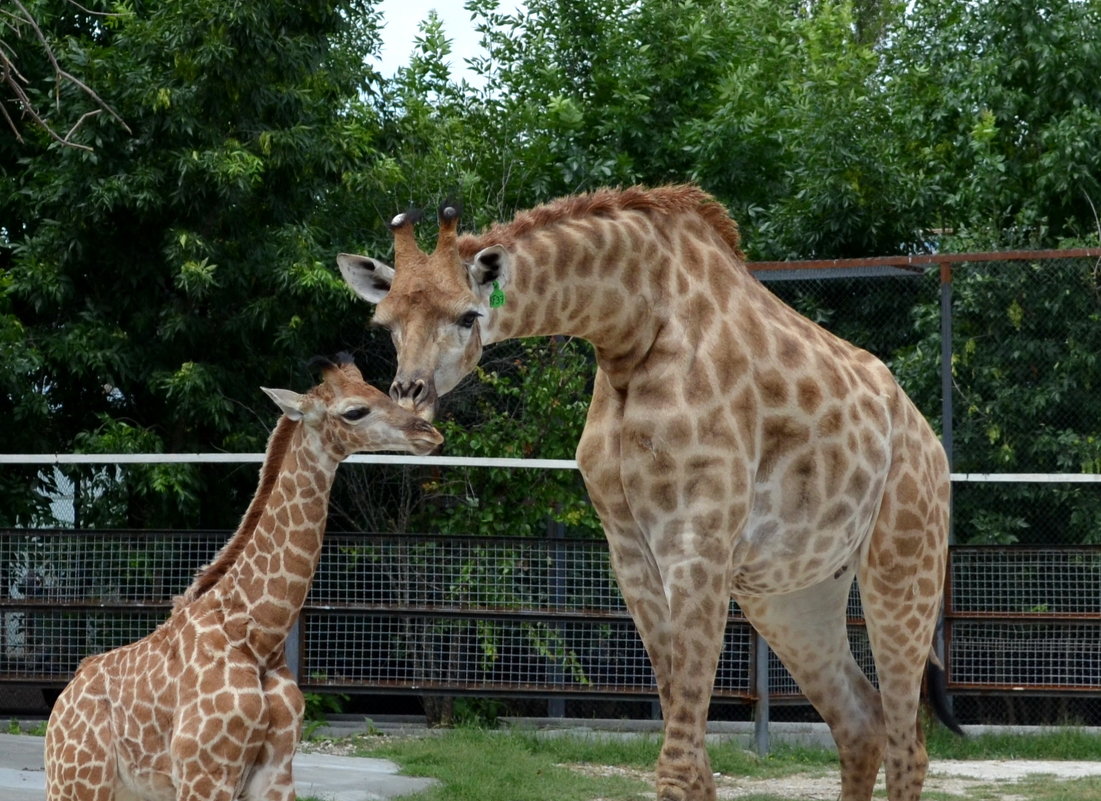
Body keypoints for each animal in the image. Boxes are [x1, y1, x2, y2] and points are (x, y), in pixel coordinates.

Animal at [46, 356, 442, 800]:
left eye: (380, 391)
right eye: (355, 411)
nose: (429, 433)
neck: (260, 634)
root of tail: (64, 697)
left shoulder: (277, 773)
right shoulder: (205, 773)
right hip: (78, 780)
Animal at [339, 185, 960, 800]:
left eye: (469, 315)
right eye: (384, 323)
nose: (410, 395)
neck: (631, 333)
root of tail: (929, 440)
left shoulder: (699, 542)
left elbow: (679, 764)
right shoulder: (631, 553)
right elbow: (695, 758)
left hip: (904, 563)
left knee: (907, 743)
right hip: (794, 592)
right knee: (861, 721)